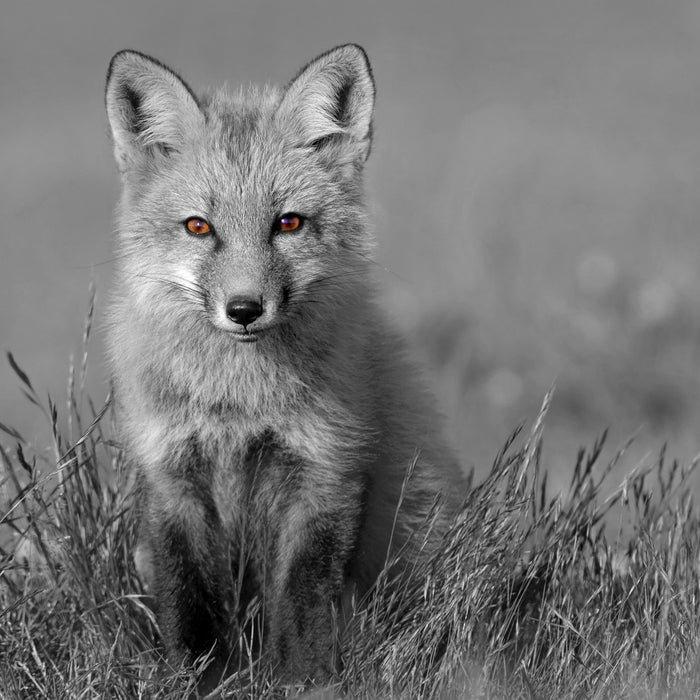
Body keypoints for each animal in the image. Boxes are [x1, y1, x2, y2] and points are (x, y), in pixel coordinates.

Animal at [104, 45, 464, 696]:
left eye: (288, 223)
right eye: (199, 227)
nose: (244, 309)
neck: (238, 403)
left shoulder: (326, 468)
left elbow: (300, 596)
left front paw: (304, 681)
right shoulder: (171, 474)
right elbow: (190, 600)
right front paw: (199, 680)